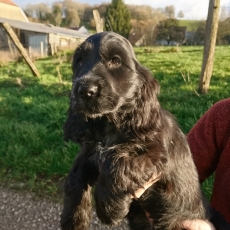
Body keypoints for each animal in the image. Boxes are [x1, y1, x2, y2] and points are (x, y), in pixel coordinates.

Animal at [60, 31, 208, 230]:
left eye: (115, 61)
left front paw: (109, 209)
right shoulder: (89, 151)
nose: (84, 91)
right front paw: (74, 220)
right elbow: (75, 176)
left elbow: (117, 162)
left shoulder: (155, 153)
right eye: (79, 61)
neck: (109, 124)